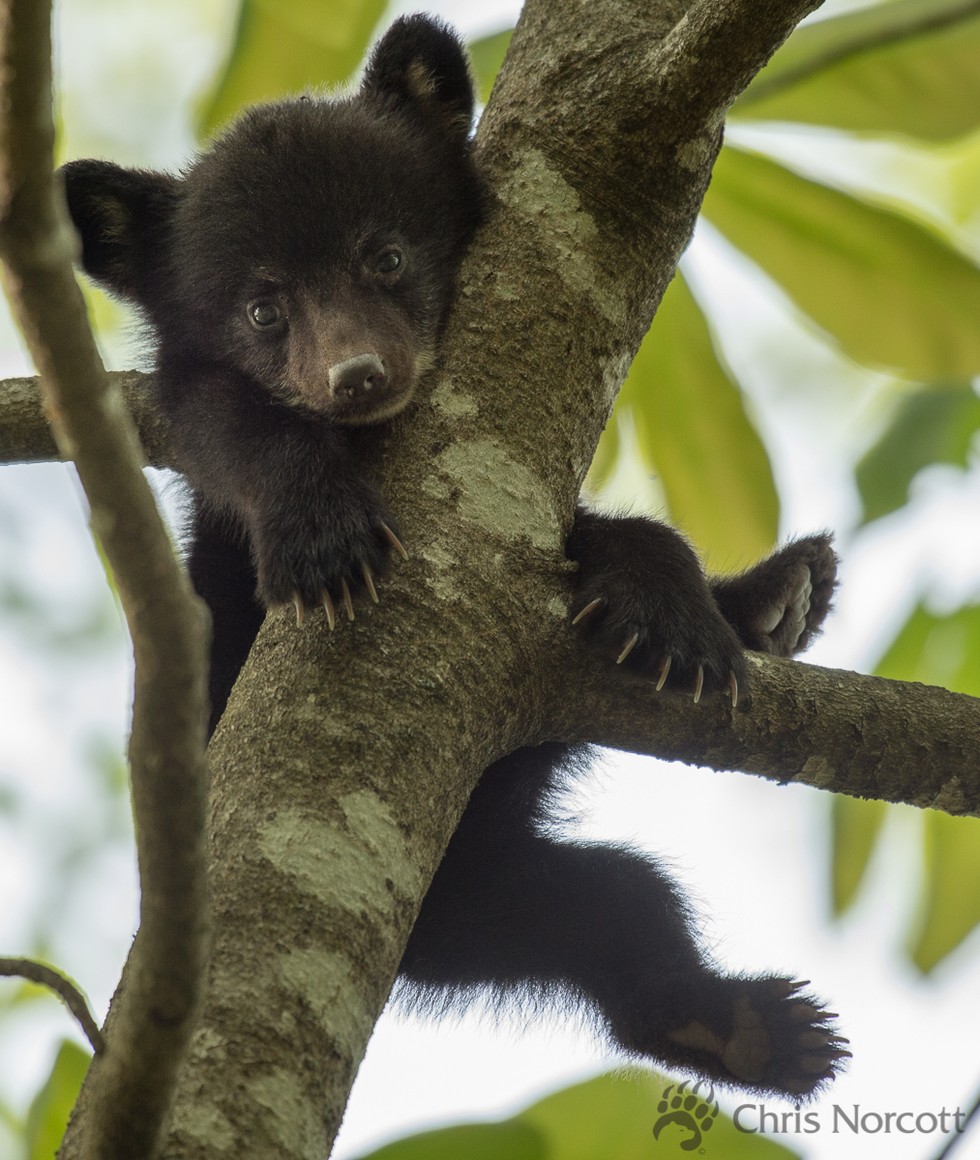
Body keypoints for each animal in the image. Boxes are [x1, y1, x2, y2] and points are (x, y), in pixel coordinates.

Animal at [60, 15, 847, 1097]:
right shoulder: (196, 421)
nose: (357, 375)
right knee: (616, 914)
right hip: (467, 913)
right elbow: (237, 431)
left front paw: (672, 610)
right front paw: (323, 541)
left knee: (621, 905)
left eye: (385, 253)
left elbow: (596, 537)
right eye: (263, 308)